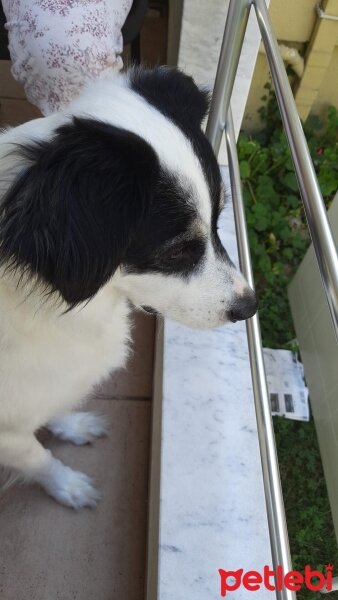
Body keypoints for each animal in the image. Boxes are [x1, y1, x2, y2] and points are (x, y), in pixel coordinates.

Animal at [0, 67, 256, 506]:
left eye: (217, 221)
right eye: (176, 251)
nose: (250, 307)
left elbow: (56, 404)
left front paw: (71, 425)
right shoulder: (7, 431)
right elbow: (37, 457)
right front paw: (67, 486)